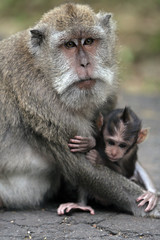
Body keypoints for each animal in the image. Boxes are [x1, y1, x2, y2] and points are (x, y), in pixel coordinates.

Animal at [0, 2, 159, 217]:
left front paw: (152, 193)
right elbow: (82, 168)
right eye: (69, 45)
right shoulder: (43, 104)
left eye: (89, 41)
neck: (45, 71)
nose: (85, 63)